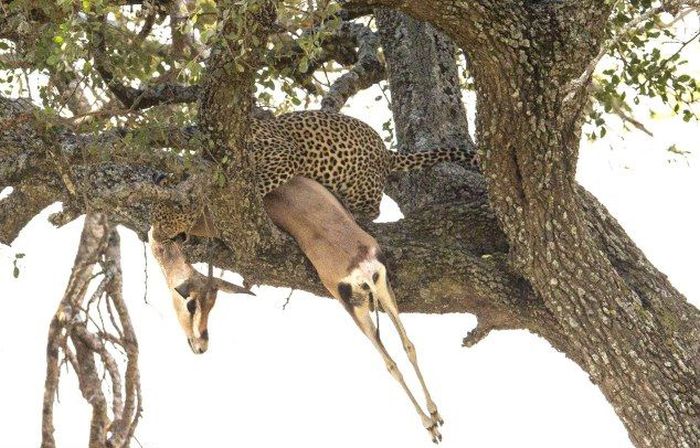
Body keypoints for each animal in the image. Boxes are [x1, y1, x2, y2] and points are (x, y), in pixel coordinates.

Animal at [148, 109, 476, 242]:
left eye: (164, 219)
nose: (157, 237)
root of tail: (386, 152)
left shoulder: (284, 154)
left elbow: (258, 182)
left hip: (358, 182)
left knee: (373, 208)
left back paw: (356, 213)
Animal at [262, 177, 442, 442]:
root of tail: (360, 269)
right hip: (381, 293)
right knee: (405, 349)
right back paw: (434, 417)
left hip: (356, 310)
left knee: (392, 361)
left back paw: (430, 424)